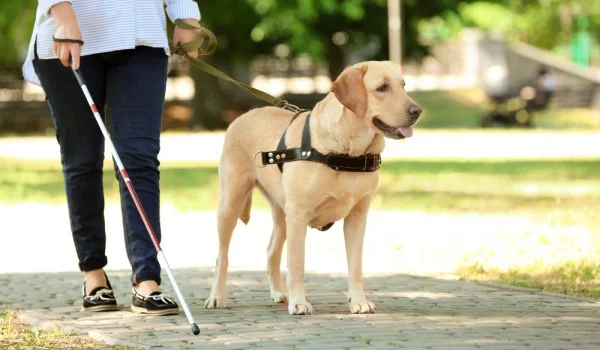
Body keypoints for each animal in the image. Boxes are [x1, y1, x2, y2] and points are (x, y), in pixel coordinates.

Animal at [206, 60, 422, 314]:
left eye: (403, 85)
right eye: (382, 88)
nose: (417, 111)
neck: (347, 152)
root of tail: (244, 115)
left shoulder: (357, 217)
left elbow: (355, 265)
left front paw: (358, 301)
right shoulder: (299, 215)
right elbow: (297, 264)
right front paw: (299, 302)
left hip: (282, 215)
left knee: (271, 253)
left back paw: (278, 293)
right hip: (231, 203)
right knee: (222, 257)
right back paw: (217, 297)